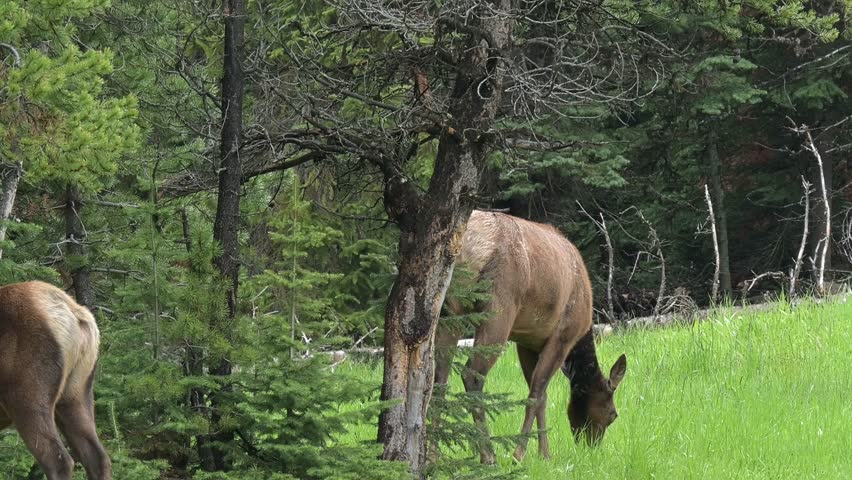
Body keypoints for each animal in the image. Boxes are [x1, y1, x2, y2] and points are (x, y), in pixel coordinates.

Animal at [434, 210, 627, 464]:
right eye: (613, 414)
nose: (591, 446)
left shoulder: (527, 341)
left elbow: (541, 396)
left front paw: (544, 453)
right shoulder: (562, 337)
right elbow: (535, 394)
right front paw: (519, 453)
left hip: (451, 307)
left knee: (439, 376)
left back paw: (432, 453)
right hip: (499, 306)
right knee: (471, 374)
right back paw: (488, 455)